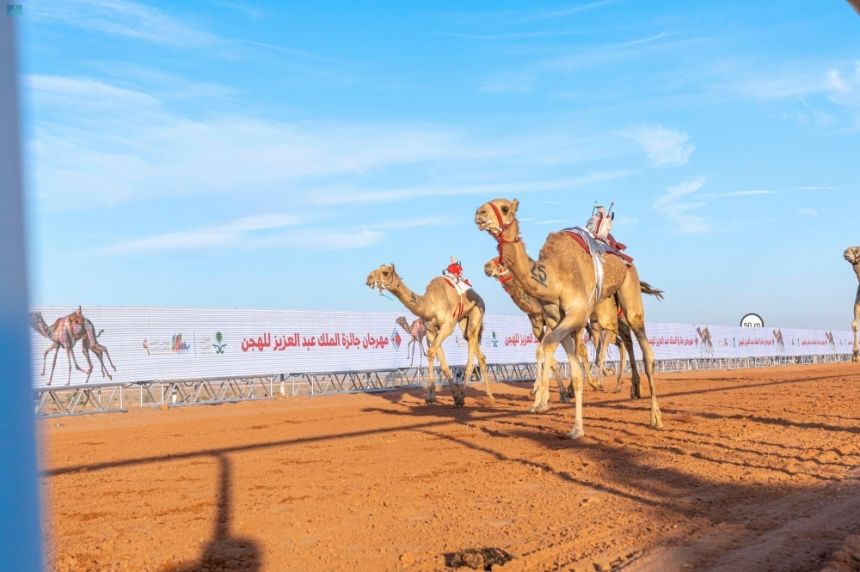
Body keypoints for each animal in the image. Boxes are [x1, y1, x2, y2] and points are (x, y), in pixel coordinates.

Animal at [366, 264, 494, 406]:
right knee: (478, 351)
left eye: (385, 272)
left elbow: (431, 352)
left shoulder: (447, 326)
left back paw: (463, 397)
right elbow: (441, 363)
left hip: (477, 311)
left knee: (471, 349)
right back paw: (490, 397)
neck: (431, 304)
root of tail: (479, 297)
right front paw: (445, 396)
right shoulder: (431, 330)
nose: (368, 278)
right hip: (463, 321)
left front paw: (431, 396)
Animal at [474, 198, 660, 438]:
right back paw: (630, 388)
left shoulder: (576, 313)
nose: (479, 213)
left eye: (505, 208)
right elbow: (563, 359)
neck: (553, 277)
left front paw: (542, 401)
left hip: (627, 293)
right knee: (623, 343)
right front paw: (575, 426)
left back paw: (654, 416)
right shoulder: (553, 319)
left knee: (643, 350)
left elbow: (549, 348)